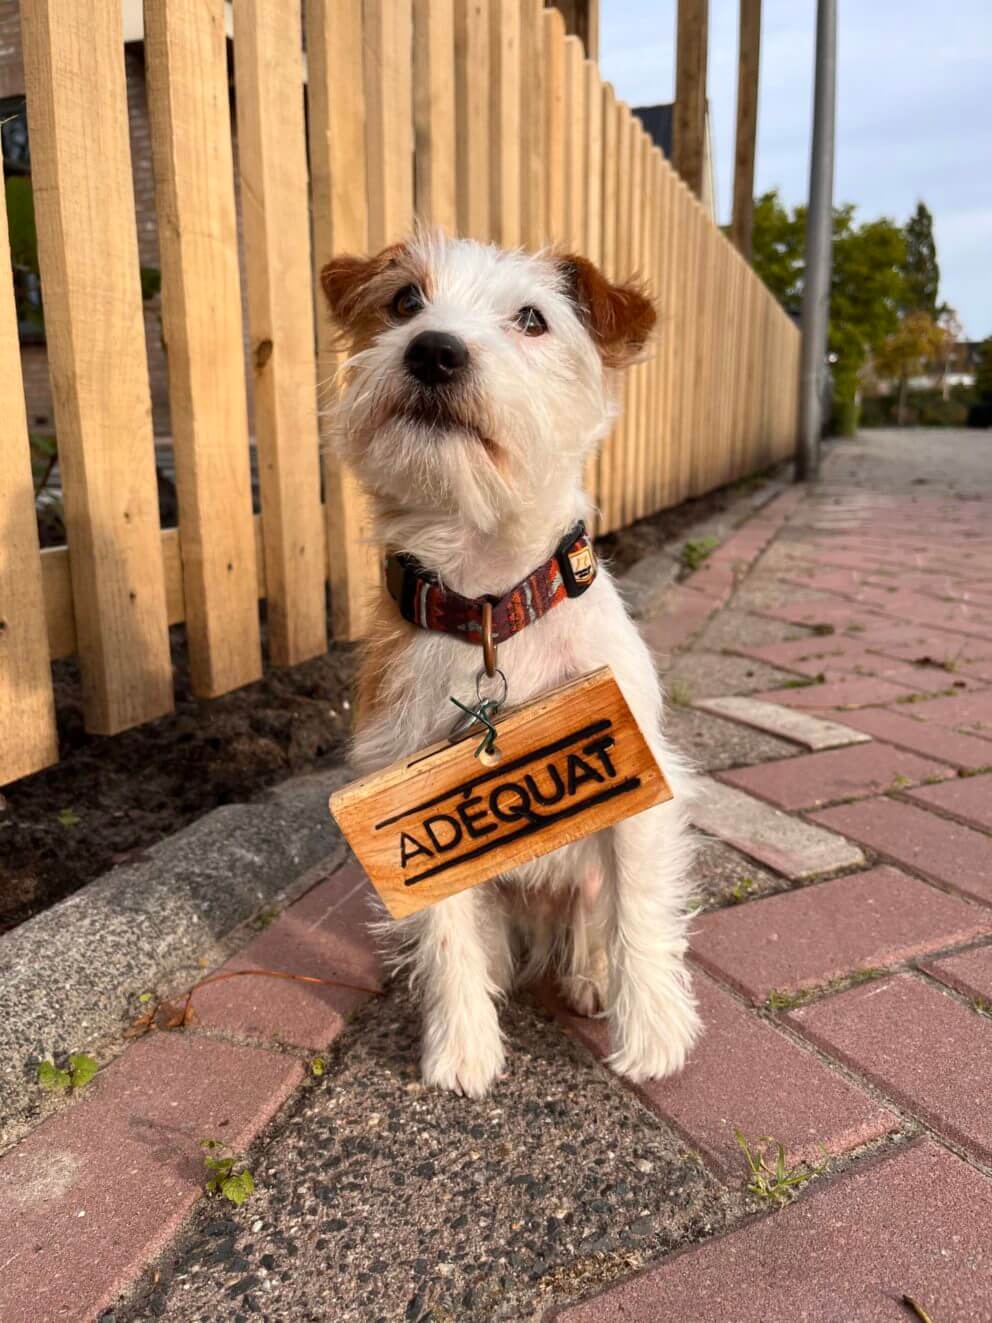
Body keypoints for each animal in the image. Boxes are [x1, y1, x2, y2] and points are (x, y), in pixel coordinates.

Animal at [322, 230, 703, 1095]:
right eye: (404, 301)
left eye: (532, 318)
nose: (433, 350)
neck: (492, 602)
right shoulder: (418, 813)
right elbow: (445, 933)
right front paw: (462, 1048)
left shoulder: (640, 782)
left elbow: (640, 914)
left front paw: (653, 1036)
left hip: (584, 883)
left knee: (594, 924)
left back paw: (591, 978)